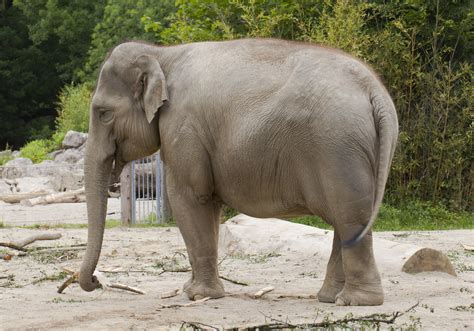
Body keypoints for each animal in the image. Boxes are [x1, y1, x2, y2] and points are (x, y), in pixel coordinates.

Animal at [79, 38, 398, 306]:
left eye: (103, 113)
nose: (95, 281)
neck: (162, 54)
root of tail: (375, 91)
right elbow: (208, 206)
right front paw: (192, 290)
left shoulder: (183, 128)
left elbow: (190, 197)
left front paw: (198, 295)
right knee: (349, 219)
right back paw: (330, 298)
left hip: (337, 148)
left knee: (348, 216)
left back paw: (355, 302)